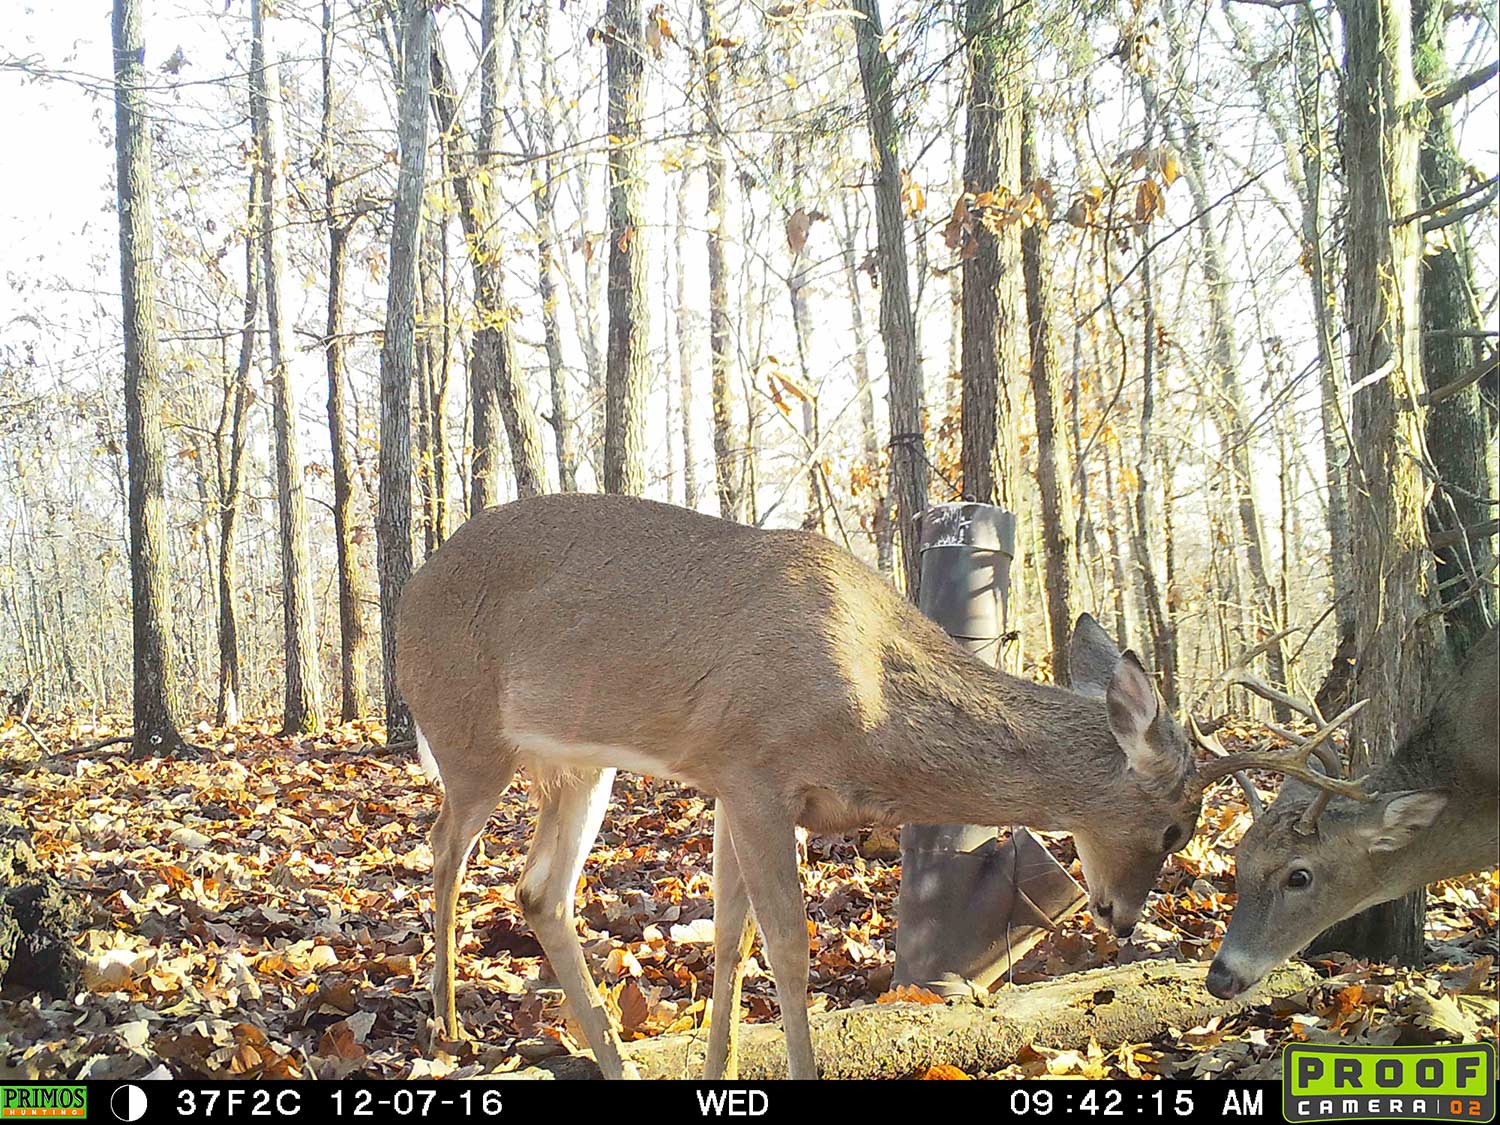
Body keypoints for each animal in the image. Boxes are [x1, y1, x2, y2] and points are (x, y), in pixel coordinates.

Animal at [396, 493, 1213, 1080]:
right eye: (1177, 828)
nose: (1123, 919)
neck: (876, 699)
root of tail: (407, 598)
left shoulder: (728, 781)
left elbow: (731, 937)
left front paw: (720, 1068)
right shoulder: (757, 770)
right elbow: (789, 946)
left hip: (582, 763)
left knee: (539, 888)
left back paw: (612, 1059)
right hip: (471, 741)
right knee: (443, 846)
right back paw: (449, 1024)